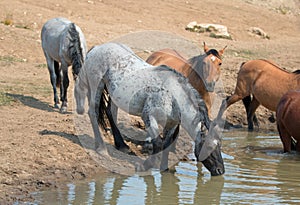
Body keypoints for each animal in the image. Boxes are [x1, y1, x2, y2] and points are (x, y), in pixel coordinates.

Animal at [74, 42, 225, 176]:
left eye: (220, 146)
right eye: (209, 146)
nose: (220, 171)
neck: (172, 96)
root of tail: (97, 48)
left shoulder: (172, 124)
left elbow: (166, 143)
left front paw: (164, 168)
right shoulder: (148, 117)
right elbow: (157, 143)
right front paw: (145, 166)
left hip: (114, 94)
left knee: (110, 112)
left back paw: (122, 145)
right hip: (96, 85)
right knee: (93, 112)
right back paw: (101, 148)